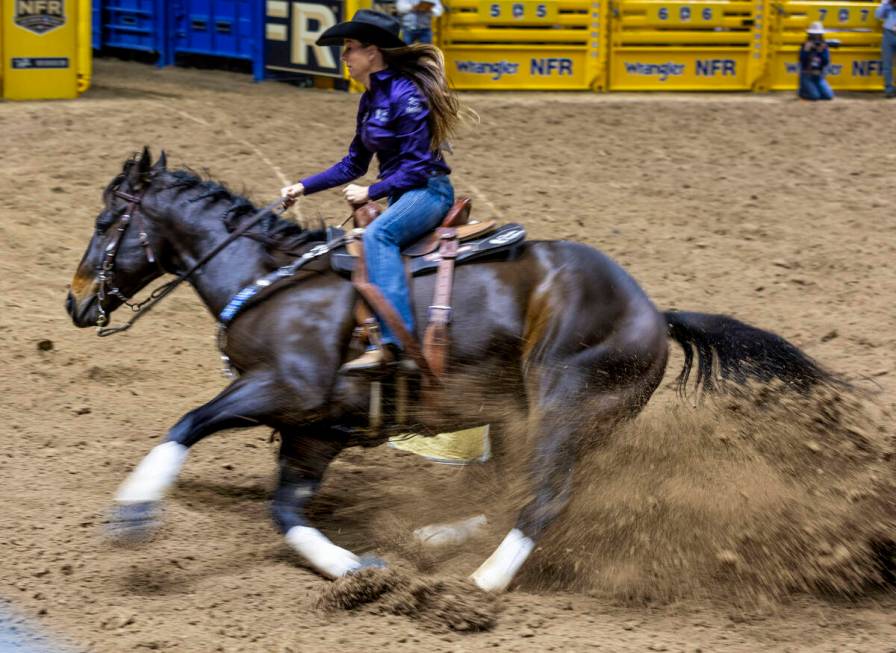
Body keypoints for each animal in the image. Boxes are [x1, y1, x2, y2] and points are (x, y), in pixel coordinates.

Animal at [66, 152, 836, 592]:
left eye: (105, 222)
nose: (75, 302)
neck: (273, 280)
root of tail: (654, 311)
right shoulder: (313, 429)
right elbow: (285, 510)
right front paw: (356, 570)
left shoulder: (287, 387)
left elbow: (188, 421)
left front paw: (135, 510)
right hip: (522, 413)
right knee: (515, 487)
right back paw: (433, 538)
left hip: (564, 400)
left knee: (547, 496)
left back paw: (483, 582)